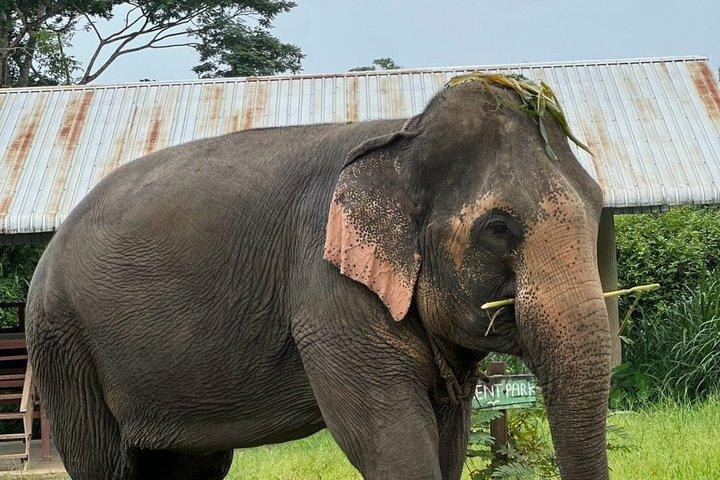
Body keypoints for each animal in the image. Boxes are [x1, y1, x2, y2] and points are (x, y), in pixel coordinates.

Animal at [25, 76, 611, 480]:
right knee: (103, 463)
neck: (405, 137)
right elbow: (389, 440)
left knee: (190, 465)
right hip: (64, 345)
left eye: (597, 203)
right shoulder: (328, 290)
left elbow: (450, 437)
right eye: (498, 229)